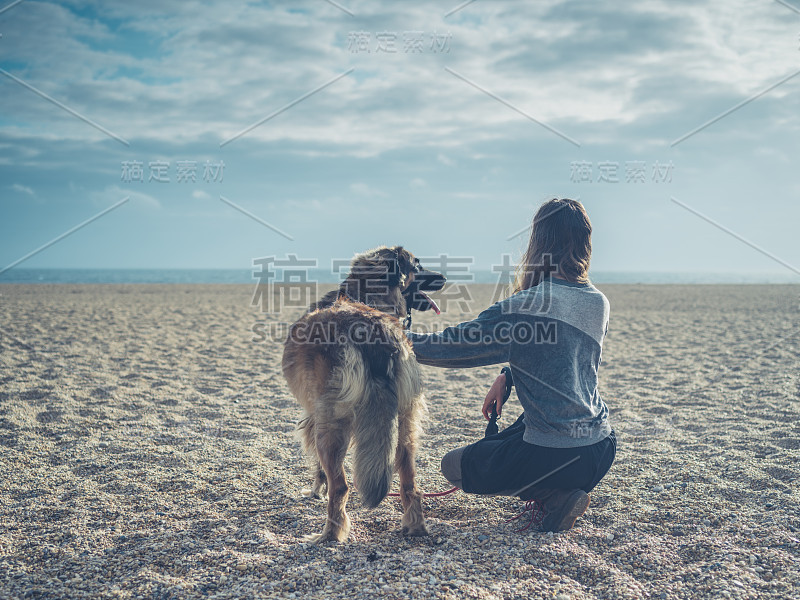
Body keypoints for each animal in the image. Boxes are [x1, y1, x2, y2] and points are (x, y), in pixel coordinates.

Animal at [282, 245, 446, 544]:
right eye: (417, 264)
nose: (443, 277)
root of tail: (375, 331)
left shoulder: (313, 416)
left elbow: (320, 471)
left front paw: (315, 491)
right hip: (405, 421)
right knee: (410, 485)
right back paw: (415, 527)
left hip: (331, 426)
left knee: (341, 487)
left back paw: (328, 536)